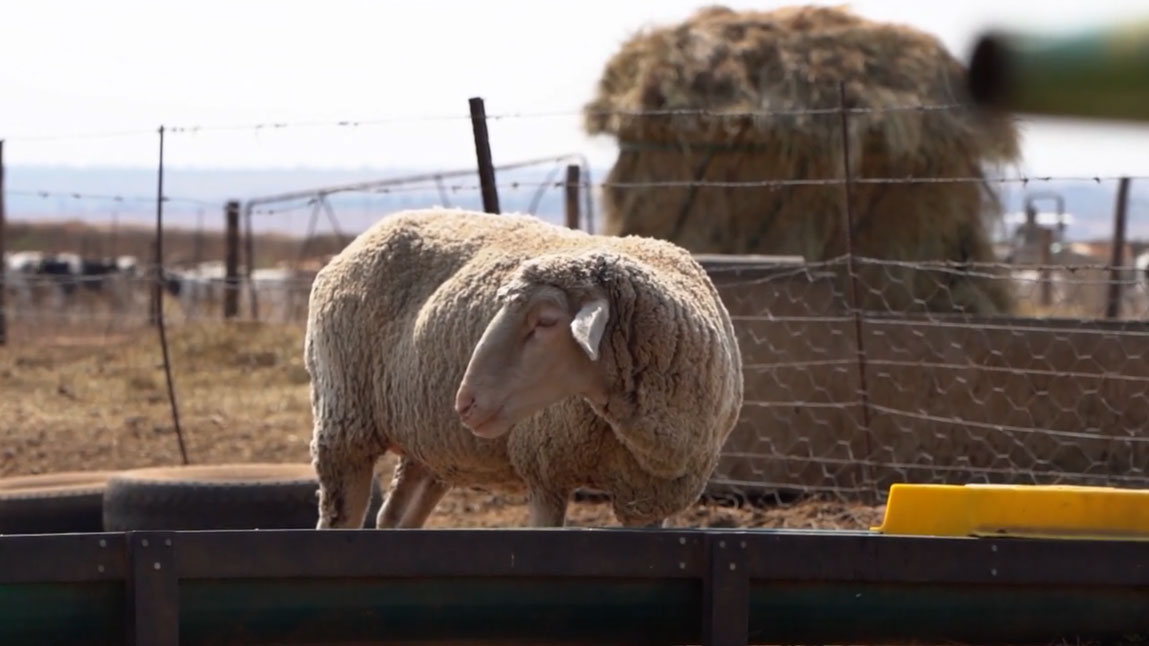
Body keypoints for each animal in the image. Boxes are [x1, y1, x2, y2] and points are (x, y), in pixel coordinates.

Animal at [303, 205, 744, 528]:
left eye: (546, 321)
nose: (466, 402)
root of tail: (365, 236)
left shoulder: (649, 502)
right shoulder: (545, 472)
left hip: (429, 447)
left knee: (393, 519)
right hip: (344, 422)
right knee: (341, 519)